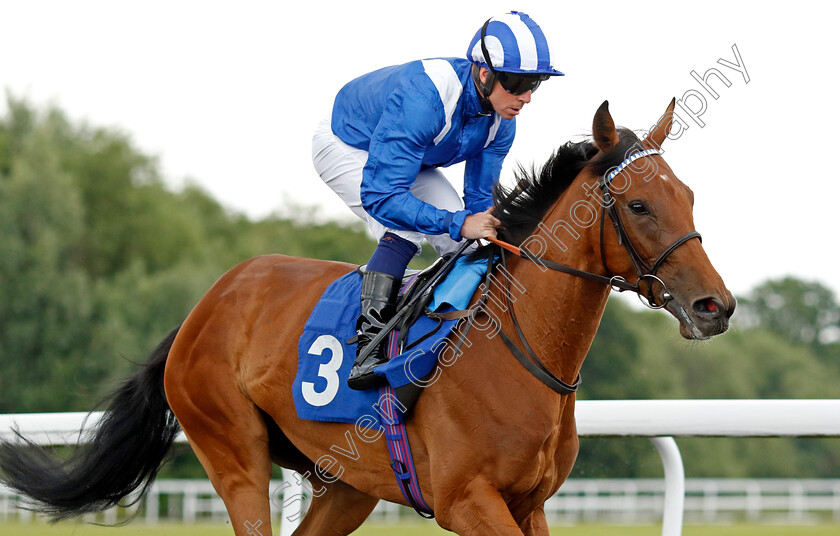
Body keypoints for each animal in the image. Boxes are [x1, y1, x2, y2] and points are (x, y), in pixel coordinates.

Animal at [0, 100, 732, 536]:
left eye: (690, 195)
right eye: (638, 205)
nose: (715, 306)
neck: (519, 350)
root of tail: (202, 309)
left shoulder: (530, 505)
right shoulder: (467, 501)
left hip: (347, 480)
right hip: (232, 447)